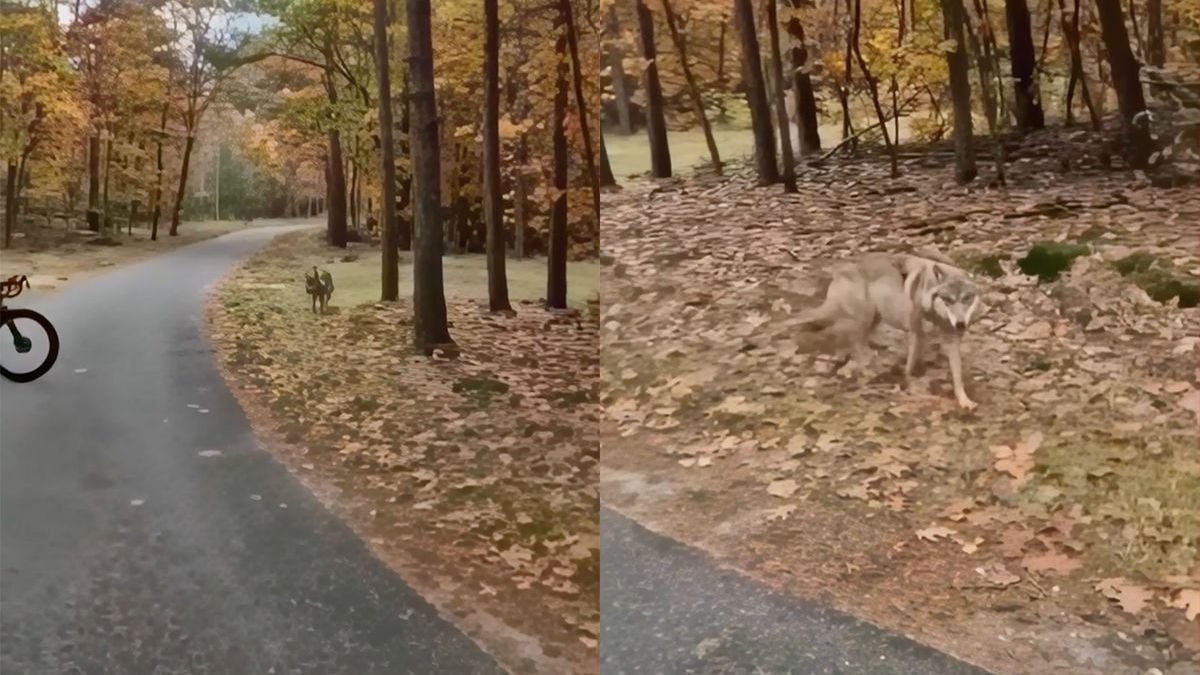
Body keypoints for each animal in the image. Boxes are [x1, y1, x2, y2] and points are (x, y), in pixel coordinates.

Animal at [792, 252, 979, 408]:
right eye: (948, 300)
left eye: (967, 298)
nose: (960, 324)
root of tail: (841, 270)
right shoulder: (915, 333)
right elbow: (909, 367)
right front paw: (906, 384)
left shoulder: (951, 340)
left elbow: (957, 377)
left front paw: (964, 401)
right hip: (864, 318)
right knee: (854, 344)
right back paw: (865, 371)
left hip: (873, 320)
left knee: (854, 343)